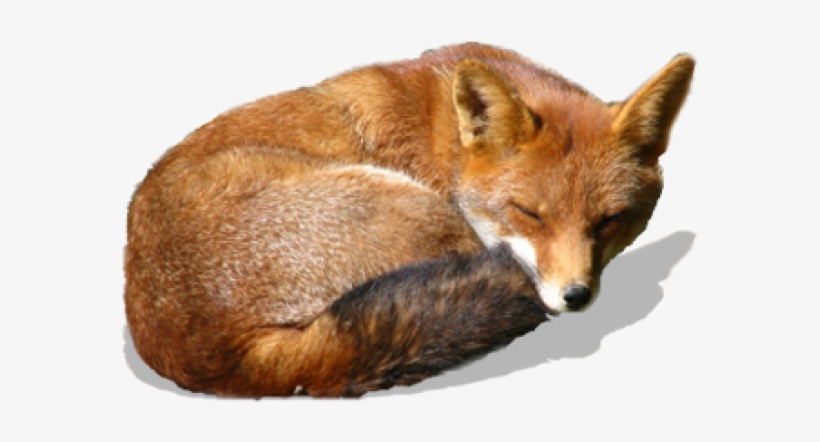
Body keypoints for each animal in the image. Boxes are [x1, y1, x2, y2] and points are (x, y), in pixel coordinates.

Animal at [125, 43, 694, 397]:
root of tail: (221, 363)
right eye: (529, 213)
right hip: (420, 212)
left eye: (611, 220)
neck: (447, 142)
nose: (575, 296)